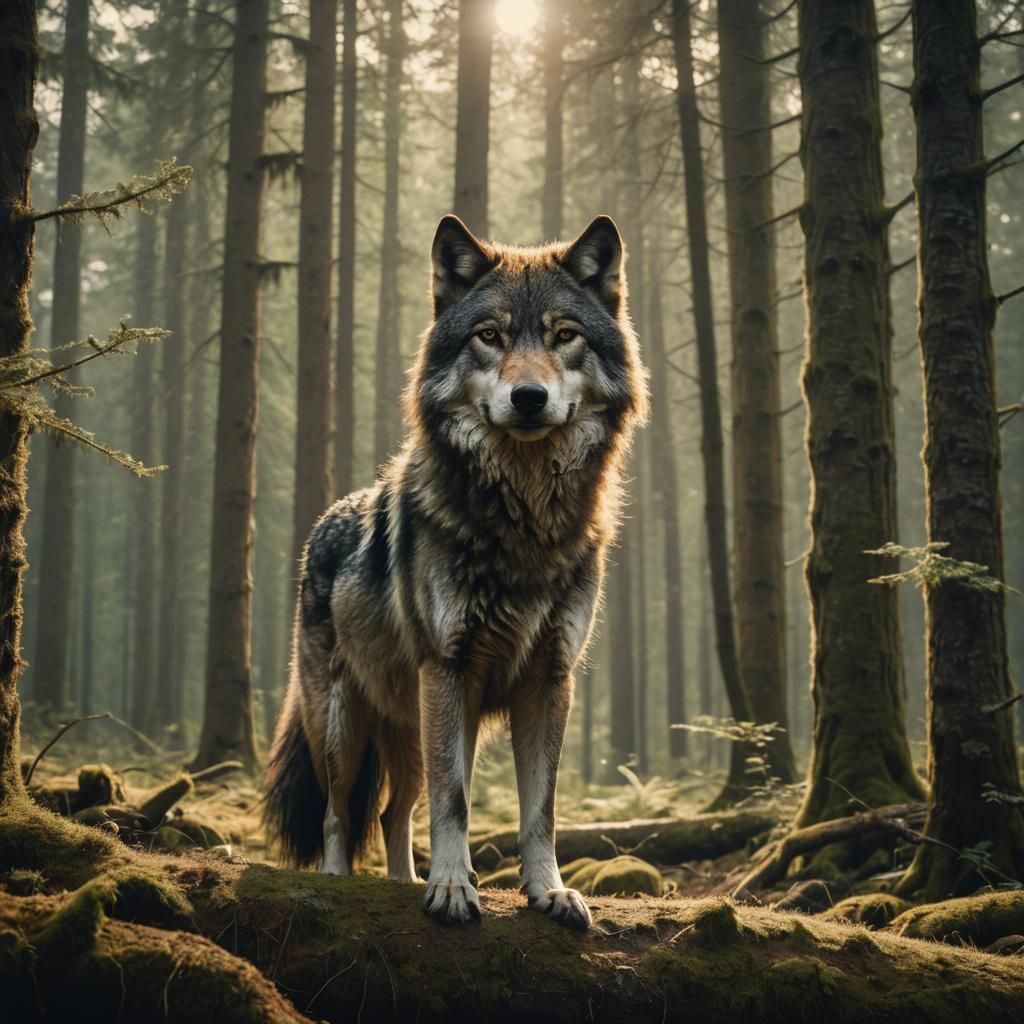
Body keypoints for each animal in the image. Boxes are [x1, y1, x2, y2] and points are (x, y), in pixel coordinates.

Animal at [264, 214, 647, 930]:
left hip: (419, 729)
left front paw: (547, 890)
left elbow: (540, 810)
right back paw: (345, 881)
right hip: (346, 726)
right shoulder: (449, 667)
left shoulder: (548, 679)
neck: (524, 524)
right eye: (489, 336)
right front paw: (449, 889)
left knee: (394, 812)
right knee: (340, 813)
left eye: (564, 335)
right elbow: (456, 801)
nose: (529, 397)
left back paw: (404, 882)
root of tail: (323, 522)